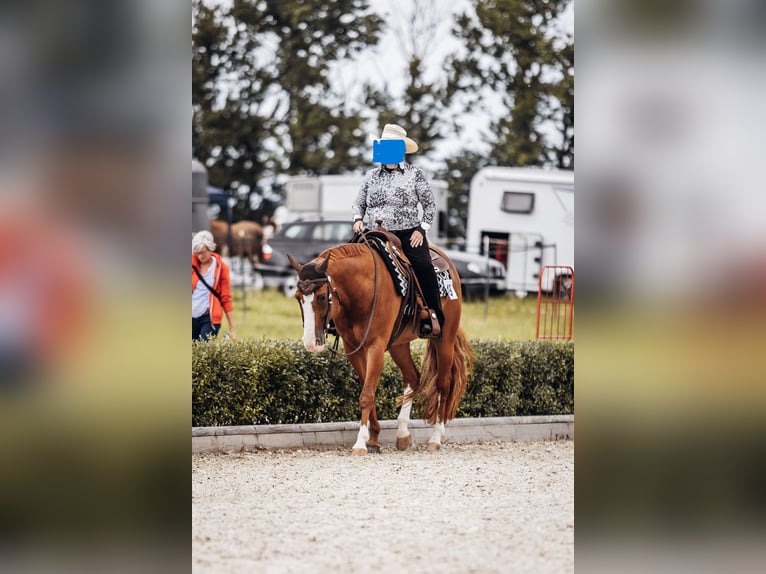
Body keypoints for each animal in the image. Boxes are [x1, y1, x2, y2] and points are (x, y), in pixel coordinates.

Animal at [288, 240, 474, 455]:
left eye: (321, 297)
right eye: (297, 297)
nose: (310, 342)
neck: (361, 290)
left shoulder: (375, 347)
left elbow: (367, 395)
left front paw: (360, 443)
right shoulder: (354, 349)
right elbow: (368, 391)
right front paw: (374, 439)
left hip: (445, 339)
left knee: (444, 384)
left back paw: (435, 438)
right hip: (399, 345)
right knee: (413, 377)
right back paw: (403, 434)